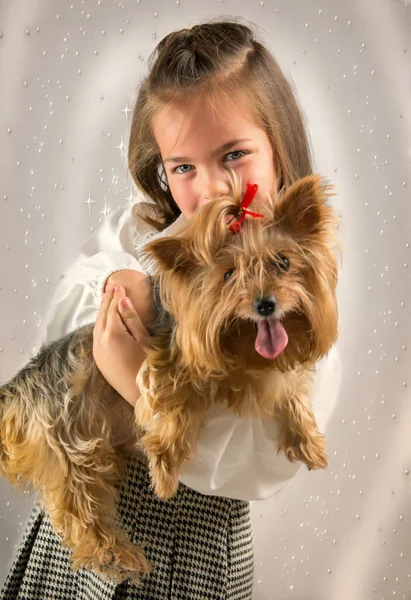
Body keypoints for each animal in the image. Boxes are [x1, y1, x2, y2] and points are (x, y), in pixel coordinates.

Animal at [0, 172, 342, 580]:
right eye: (228, 275)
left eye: (283, 262)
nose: (265, 304)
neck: (241, 343)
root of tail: (21, 386)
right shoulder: (168, 363)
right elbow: (176, 405)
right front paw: (164, 470)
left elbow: (286, 388)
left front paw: (308, 440)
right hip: (70, 444)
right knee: (78, 506)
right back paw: (117, 555)